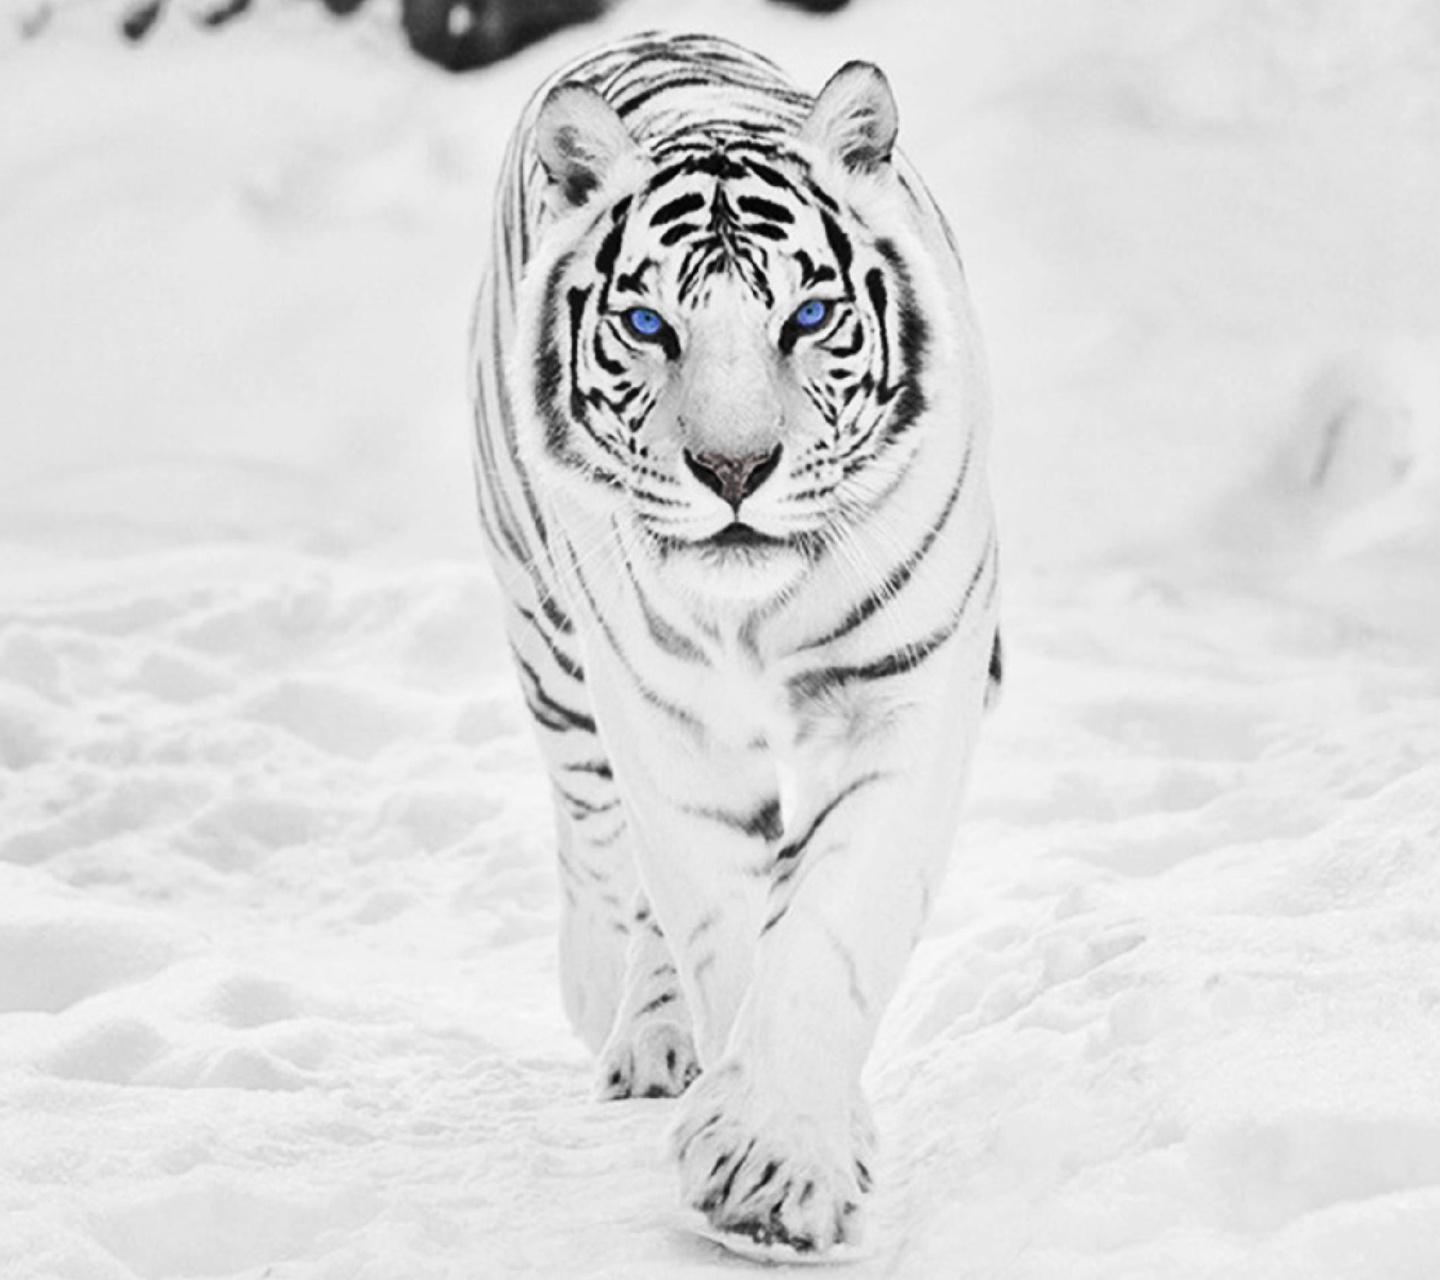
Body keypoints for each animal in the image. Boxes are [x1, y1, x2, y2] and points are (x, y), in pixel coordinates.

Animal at [469, 31, 1000, 1259]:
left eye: (805, 319)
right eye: (648, 326)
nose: (733, 469)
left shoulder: (906, 695)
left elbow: (832, 925)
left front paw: (780, 1164)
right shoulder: (670, 728)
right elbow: (716, 915)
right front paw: (768, 1152)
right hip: (549, 637)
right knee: (598, 838)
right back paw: (621, 1012)